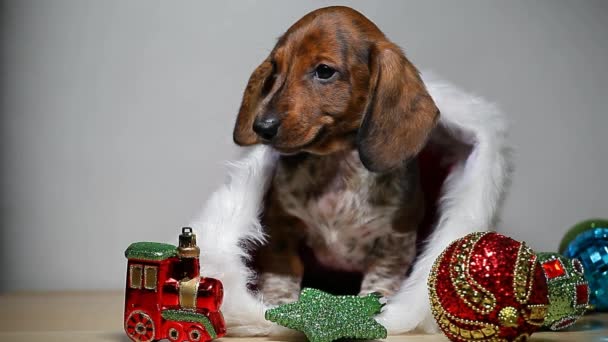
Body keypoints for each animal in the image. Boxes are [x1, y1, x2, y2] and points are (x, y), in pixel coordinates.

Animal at [233, 5, 436, 304]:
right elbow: (283, 268)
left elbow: (382, 276)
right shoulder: (280, 224)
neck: (337, 163)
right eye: (276, 68)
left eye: (324, 71)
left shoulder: (396, 237)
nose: (262, 127)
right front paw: (278, 302)